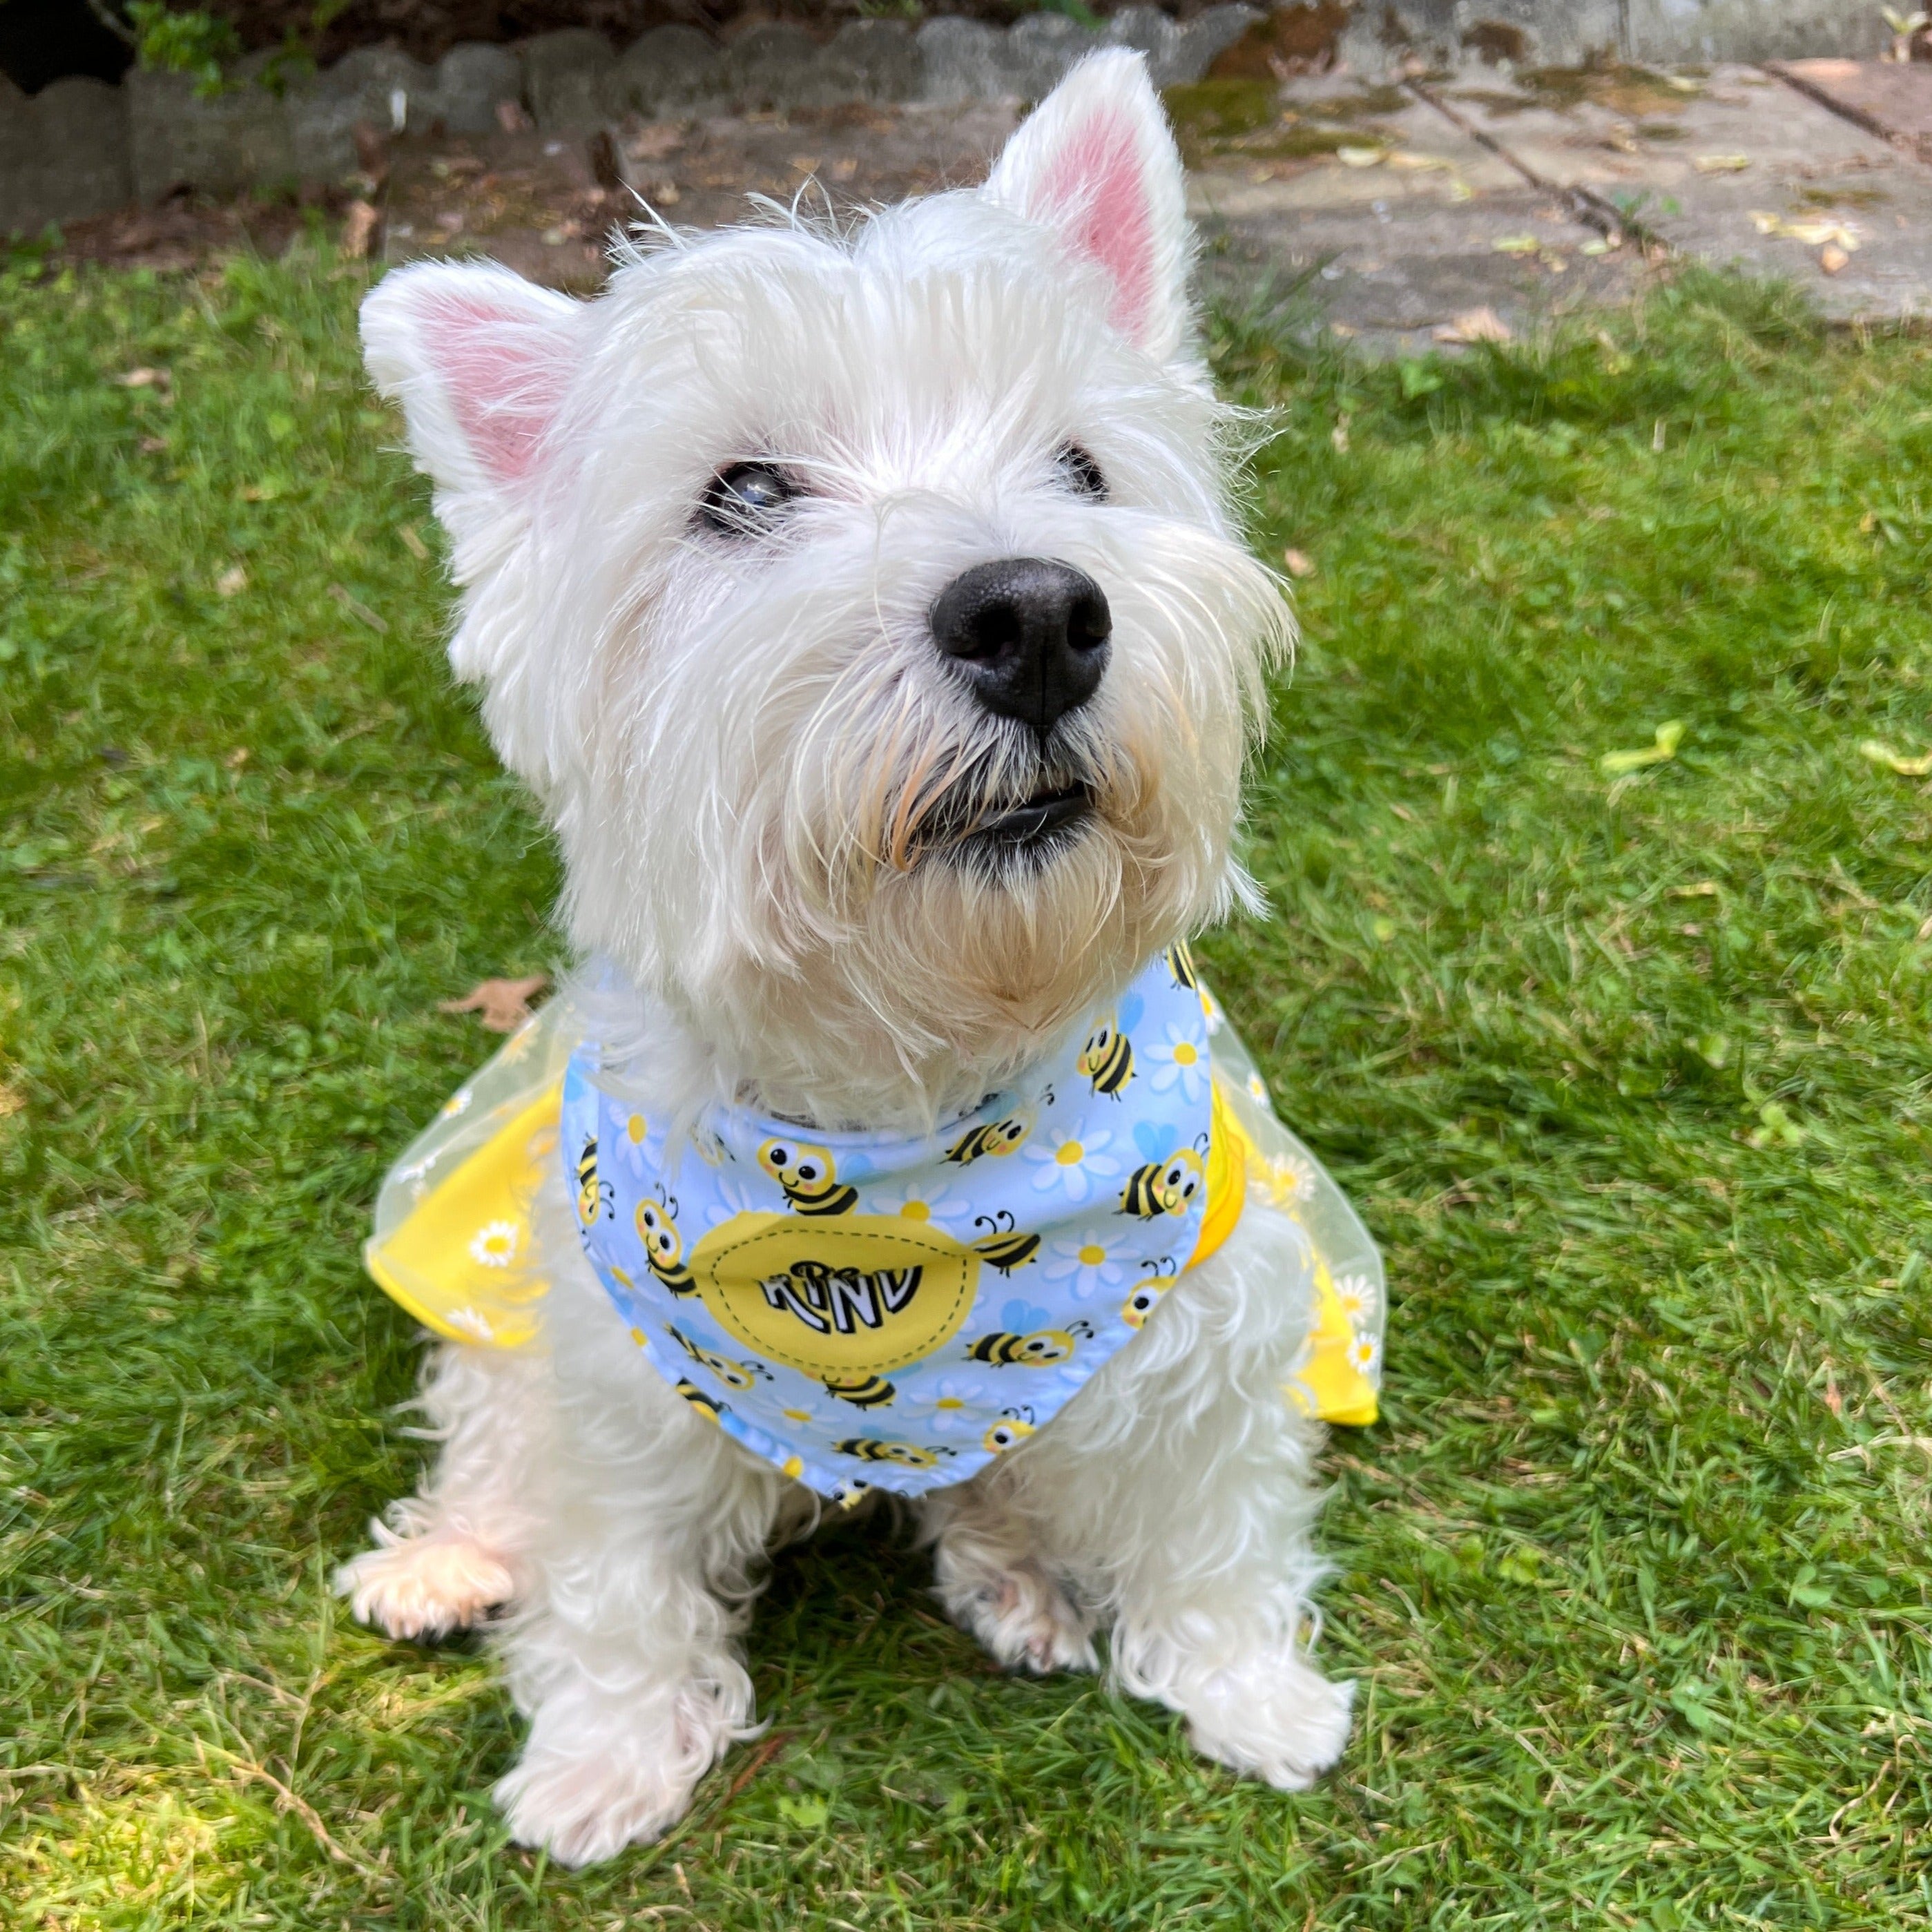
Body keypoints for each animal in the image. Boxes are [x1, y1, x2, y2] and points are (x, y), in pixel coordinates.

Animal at [340, 56, 1367, 1870]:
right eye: (743, 493)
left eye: (1081, 465)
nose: (1033, 615)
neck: (911, 1091)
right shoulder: (613, 1365)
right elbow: (613, 1574)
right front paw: (599, 1760)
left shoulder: (1206, 1325)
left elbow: (1215, 1523)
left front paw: (1252, 1692)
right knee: (484, 1434)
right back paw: (444, 1558)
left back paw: (1018, 1579)